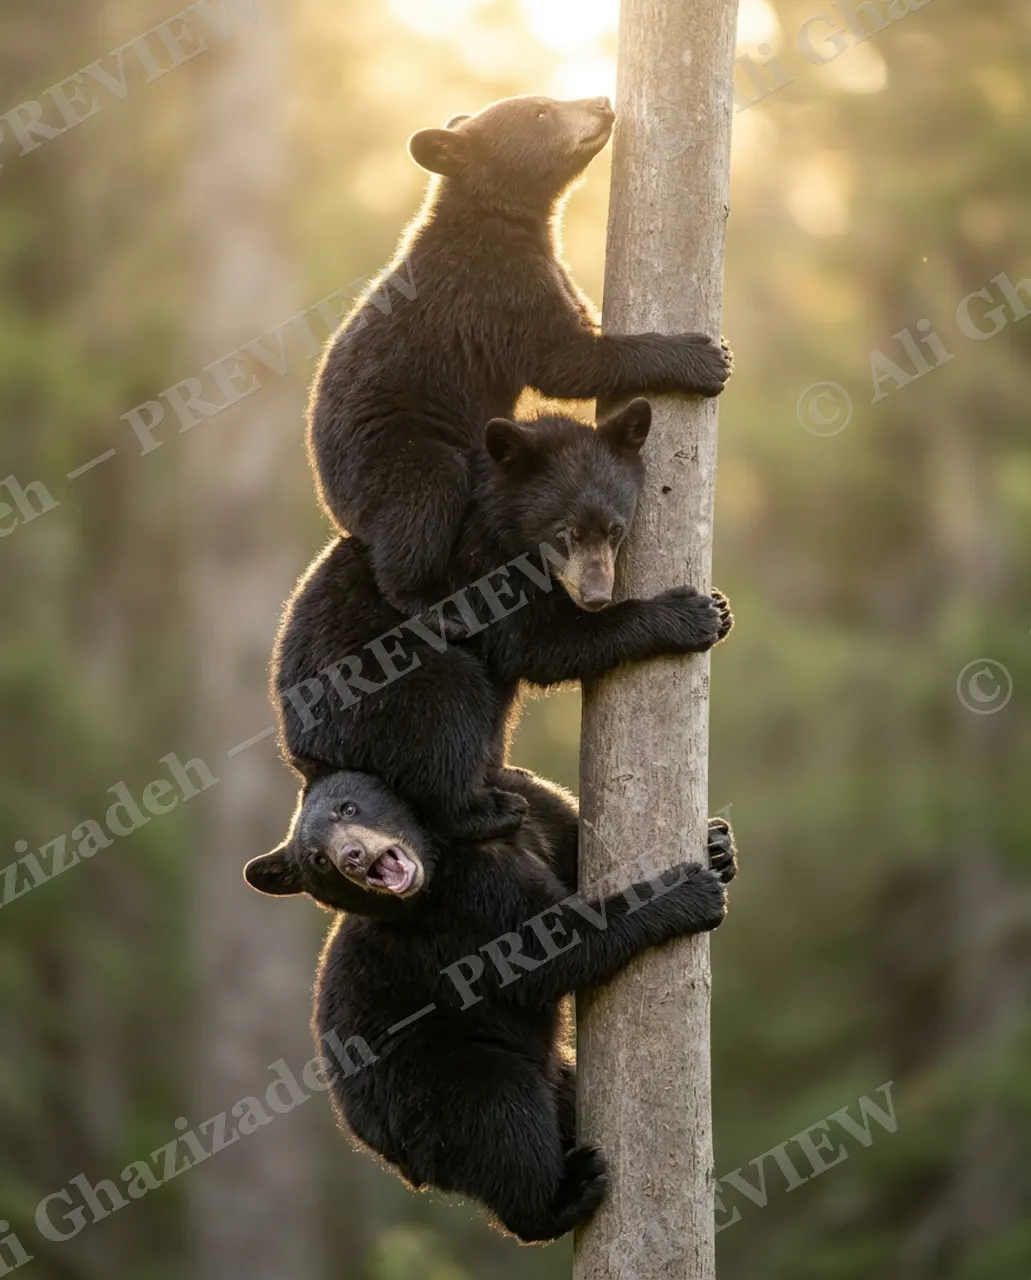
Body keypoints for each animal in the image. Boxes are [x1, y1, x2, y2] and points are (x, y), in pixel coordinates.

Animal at [243, 766, 739, 1243]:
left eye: (347, 807)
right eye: (318, 859)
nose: (352, 856)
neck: (443, 857)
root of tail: (380, 1147)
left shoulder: (537, 812)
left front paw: (718, 845)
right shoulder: (465, 912)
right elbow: (550, 949)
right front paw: (688, 892)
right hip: (429, 1077)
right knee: (501, 1116)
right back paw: (568, 1193)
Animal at [275, 399, 733, 840]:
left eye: (615, 529)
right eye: (565, 532)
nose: (596, 596)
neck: (504, 527)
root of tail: (303, 753)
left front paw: (722, 608)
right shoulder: (478, 575)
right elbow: (539, 644)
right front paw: (691, 615)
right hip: (378, 693)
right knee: (448, 710)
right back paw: (490, 810)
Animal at [308, 93, 733, 618]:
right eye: (541, 112)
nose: (601, 101)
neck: (506, 221)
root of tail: (333, 507)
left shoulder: (546, 267)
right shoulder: (498, 289)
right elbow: (564, 361)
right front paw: (703, 357)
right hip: (393, 452)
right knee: (421, 504)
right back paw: (431, 602)